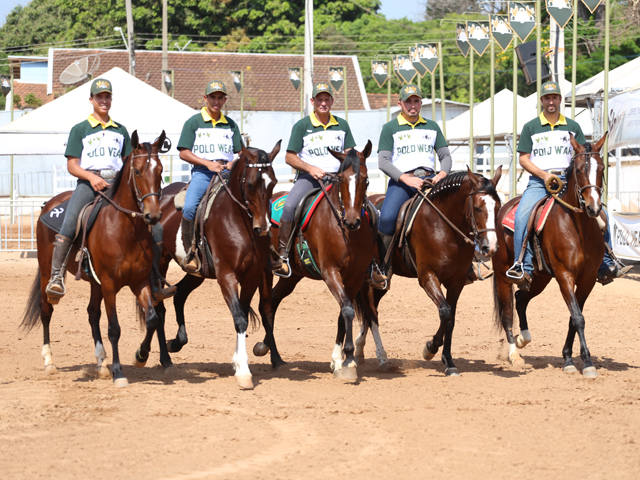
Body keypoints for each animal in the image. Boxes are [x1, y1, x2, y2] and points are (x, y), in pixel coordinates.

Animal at [21, 131, 169, 386]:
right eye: (138, 171)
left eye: (159, 170)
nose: (153, 215)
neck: (125, 230)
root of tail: (47, 206)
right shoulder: (109, 285)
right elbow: (114, 328)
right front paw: (119, 372)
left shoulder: (139, 282)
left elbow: (151, 319)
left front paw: (140, 356)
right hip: (47, 271)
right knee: (46, 309)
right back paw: (50, 361)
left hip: (94, 283)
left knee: (92, 314)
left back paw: (101, 363)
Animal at [154, 141, 282, 388]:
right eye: (251, 183)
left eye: (273, 182)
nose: (263, 227)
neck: (239, 221)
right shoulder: (226, 275)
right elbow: (239, 318)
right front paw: (243, 371)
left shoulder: (252, 275)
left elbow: (242, 315)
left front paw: (238, 363)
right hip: (160, 262)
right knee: (158, 305)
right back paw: (162, 359)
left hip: (196, 273)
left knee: (179, 294)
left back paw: (176, 342)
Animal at [254, 140, 378, 382]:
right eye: (341, 179)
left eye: (366, 179)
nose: (352, 221)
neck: (345, 232)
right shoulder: (331, 272)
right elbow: (347, 310)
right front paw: (348, 359)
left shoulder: (355, 277)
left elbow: (344, 311)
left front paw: (339, 360)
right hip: (265, 270)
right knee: (265, 304)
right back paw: (273, 356)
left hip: (293, 277)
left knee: (273, 301)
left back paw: (269, 350)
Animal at [352, 167, 502, 376]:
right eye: (478, 207)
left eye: (498, 207)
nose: (491, 247)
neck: (443, 227)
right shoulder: (428, 276)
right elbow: (445, 311)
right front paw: (430, 348)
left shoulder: (456, 282)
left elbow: (451, 319)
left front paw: (449, 362)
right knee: (369, 311)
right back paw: (374, 357)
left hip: (381, 284)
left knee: (370, 310)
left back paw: (362, 351)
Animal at [492, 133, 608, 376]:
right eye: (580, 169)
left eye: (601, 168)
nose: (593, 207)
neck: (579, 229)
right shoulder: (565, 276)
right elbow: (578, 317)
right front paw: (585, 363)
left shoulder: (588, 279)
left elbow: (574, 318)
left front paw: (569, 358)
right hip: (502, 275)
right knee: (507, 312)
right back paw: (514, 355)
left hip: (540, 278)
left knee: (521, 299)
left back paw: (523, 339)